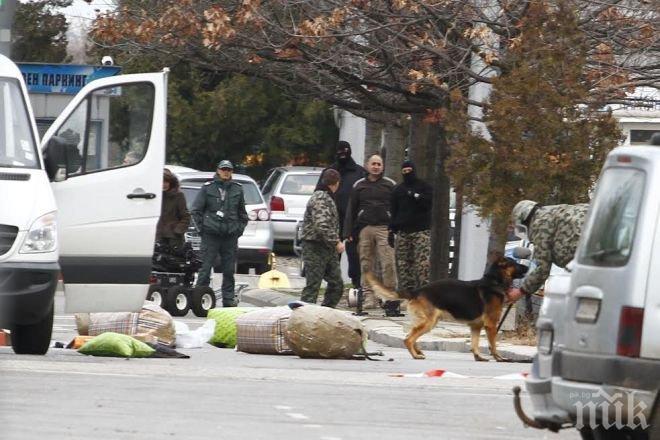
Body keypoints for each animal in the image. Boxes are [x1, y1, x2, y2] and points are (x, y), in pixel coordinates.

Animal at [364, 258, 528, 360]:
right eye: (515, 263)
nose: (528, 266)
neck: (494, 281)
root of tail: (416, 291)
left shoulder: (476, 326)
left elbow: (475, 344)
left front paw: (479, 357)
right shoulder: (491, 325)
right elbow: (493, 345)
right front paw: (499, 358)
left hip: (427, 321)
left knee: (411, 335)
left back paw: (418, 351)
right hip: (429, 322)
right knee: (408, 338)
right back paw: (415, 355)